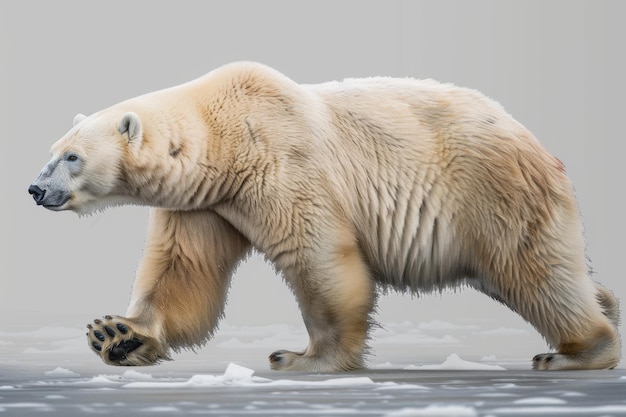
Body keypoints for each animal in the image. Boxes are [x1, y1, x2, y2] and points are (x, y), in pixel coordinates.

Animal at [29, 62, 620, 370]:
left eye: (72, 156)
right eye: (52, 150)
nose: (35, 188)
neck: (223, 136)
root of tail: (538, 144)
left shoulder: (281, 164)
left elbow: (319, 258)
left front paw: (303, 357)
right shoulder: (204, 202)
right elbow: (182, 271)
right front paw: (118, 335)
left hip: (490, 191)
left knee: (533, 272)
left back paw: (578, 351)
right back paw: (606, 306)